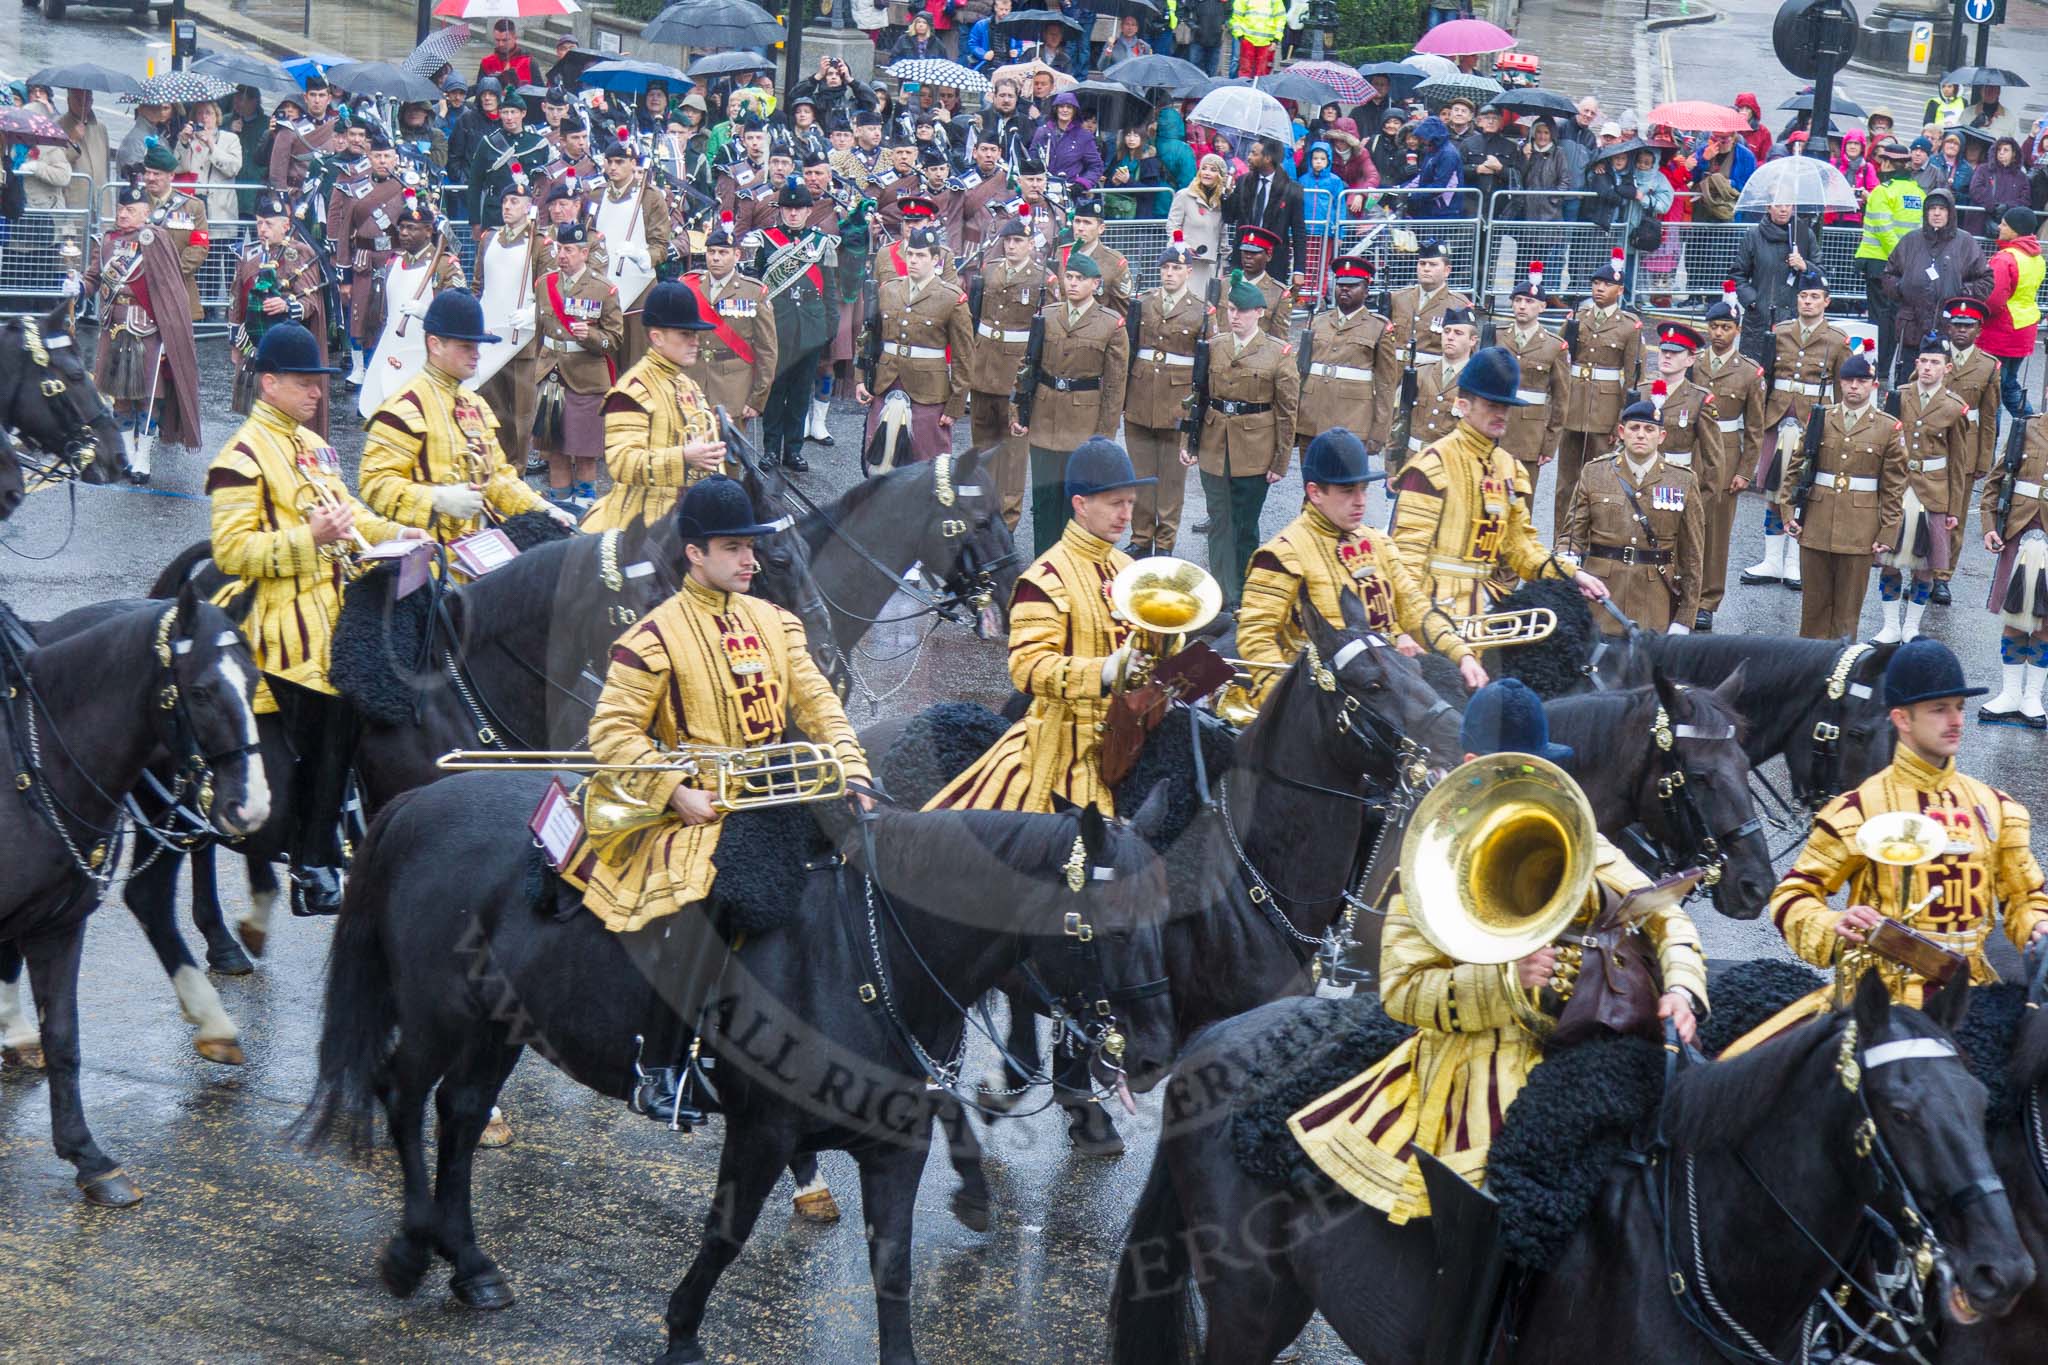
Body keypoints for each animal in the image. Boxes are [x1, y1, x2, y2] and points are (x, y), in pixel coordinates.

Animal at [0, 589, 266, 1203]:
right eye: (199, 691)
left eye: (255, 680)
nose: (251, 805)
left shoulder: (57, 925)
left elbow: (64, 1037)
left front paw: (90, 1158)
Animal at [296, 777, 1179, 1365]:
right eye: (1104, 923)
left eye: (1166, 912)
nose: (1154, 1051)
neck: (869, 955)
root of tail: (415, 802)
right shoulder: (762, 1128)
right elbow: (725, 1232)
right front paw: (681, 1330)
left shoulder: (896, 1146)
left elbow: (892, 1267)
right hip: (442, 1015)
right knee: (404, 1096)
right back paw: (411, 1251)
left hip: (496, 1028)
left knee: (464, 1111)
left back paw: (471, 1264)